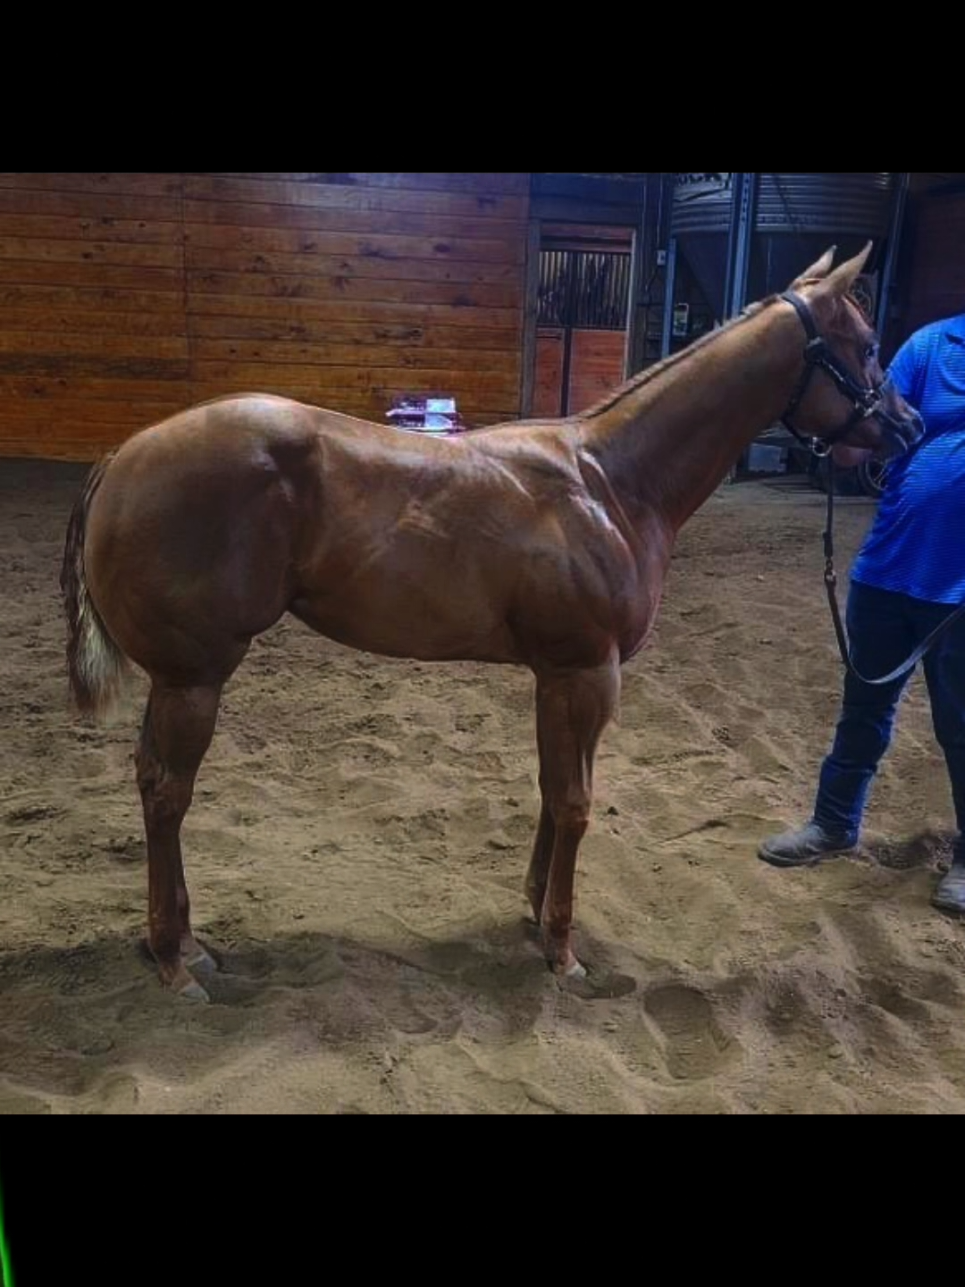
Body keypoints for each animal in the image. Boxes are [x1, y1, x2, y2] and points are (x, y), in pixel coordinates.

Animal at [60, 243, 923, 1002]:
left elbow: (550, 790)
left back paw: (180, 945)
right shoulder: (586, 673)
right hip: (193, 678)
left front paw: (535, 916)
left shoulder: (559, 676)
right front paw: (564, 951)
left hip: (178, 681)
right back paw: (177, 961)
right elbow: (575, 802)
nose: (910, 426)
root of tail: (122, 455)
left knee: (152, 783)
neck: (610, 484)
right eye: (866, 343)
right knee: (167, 793)